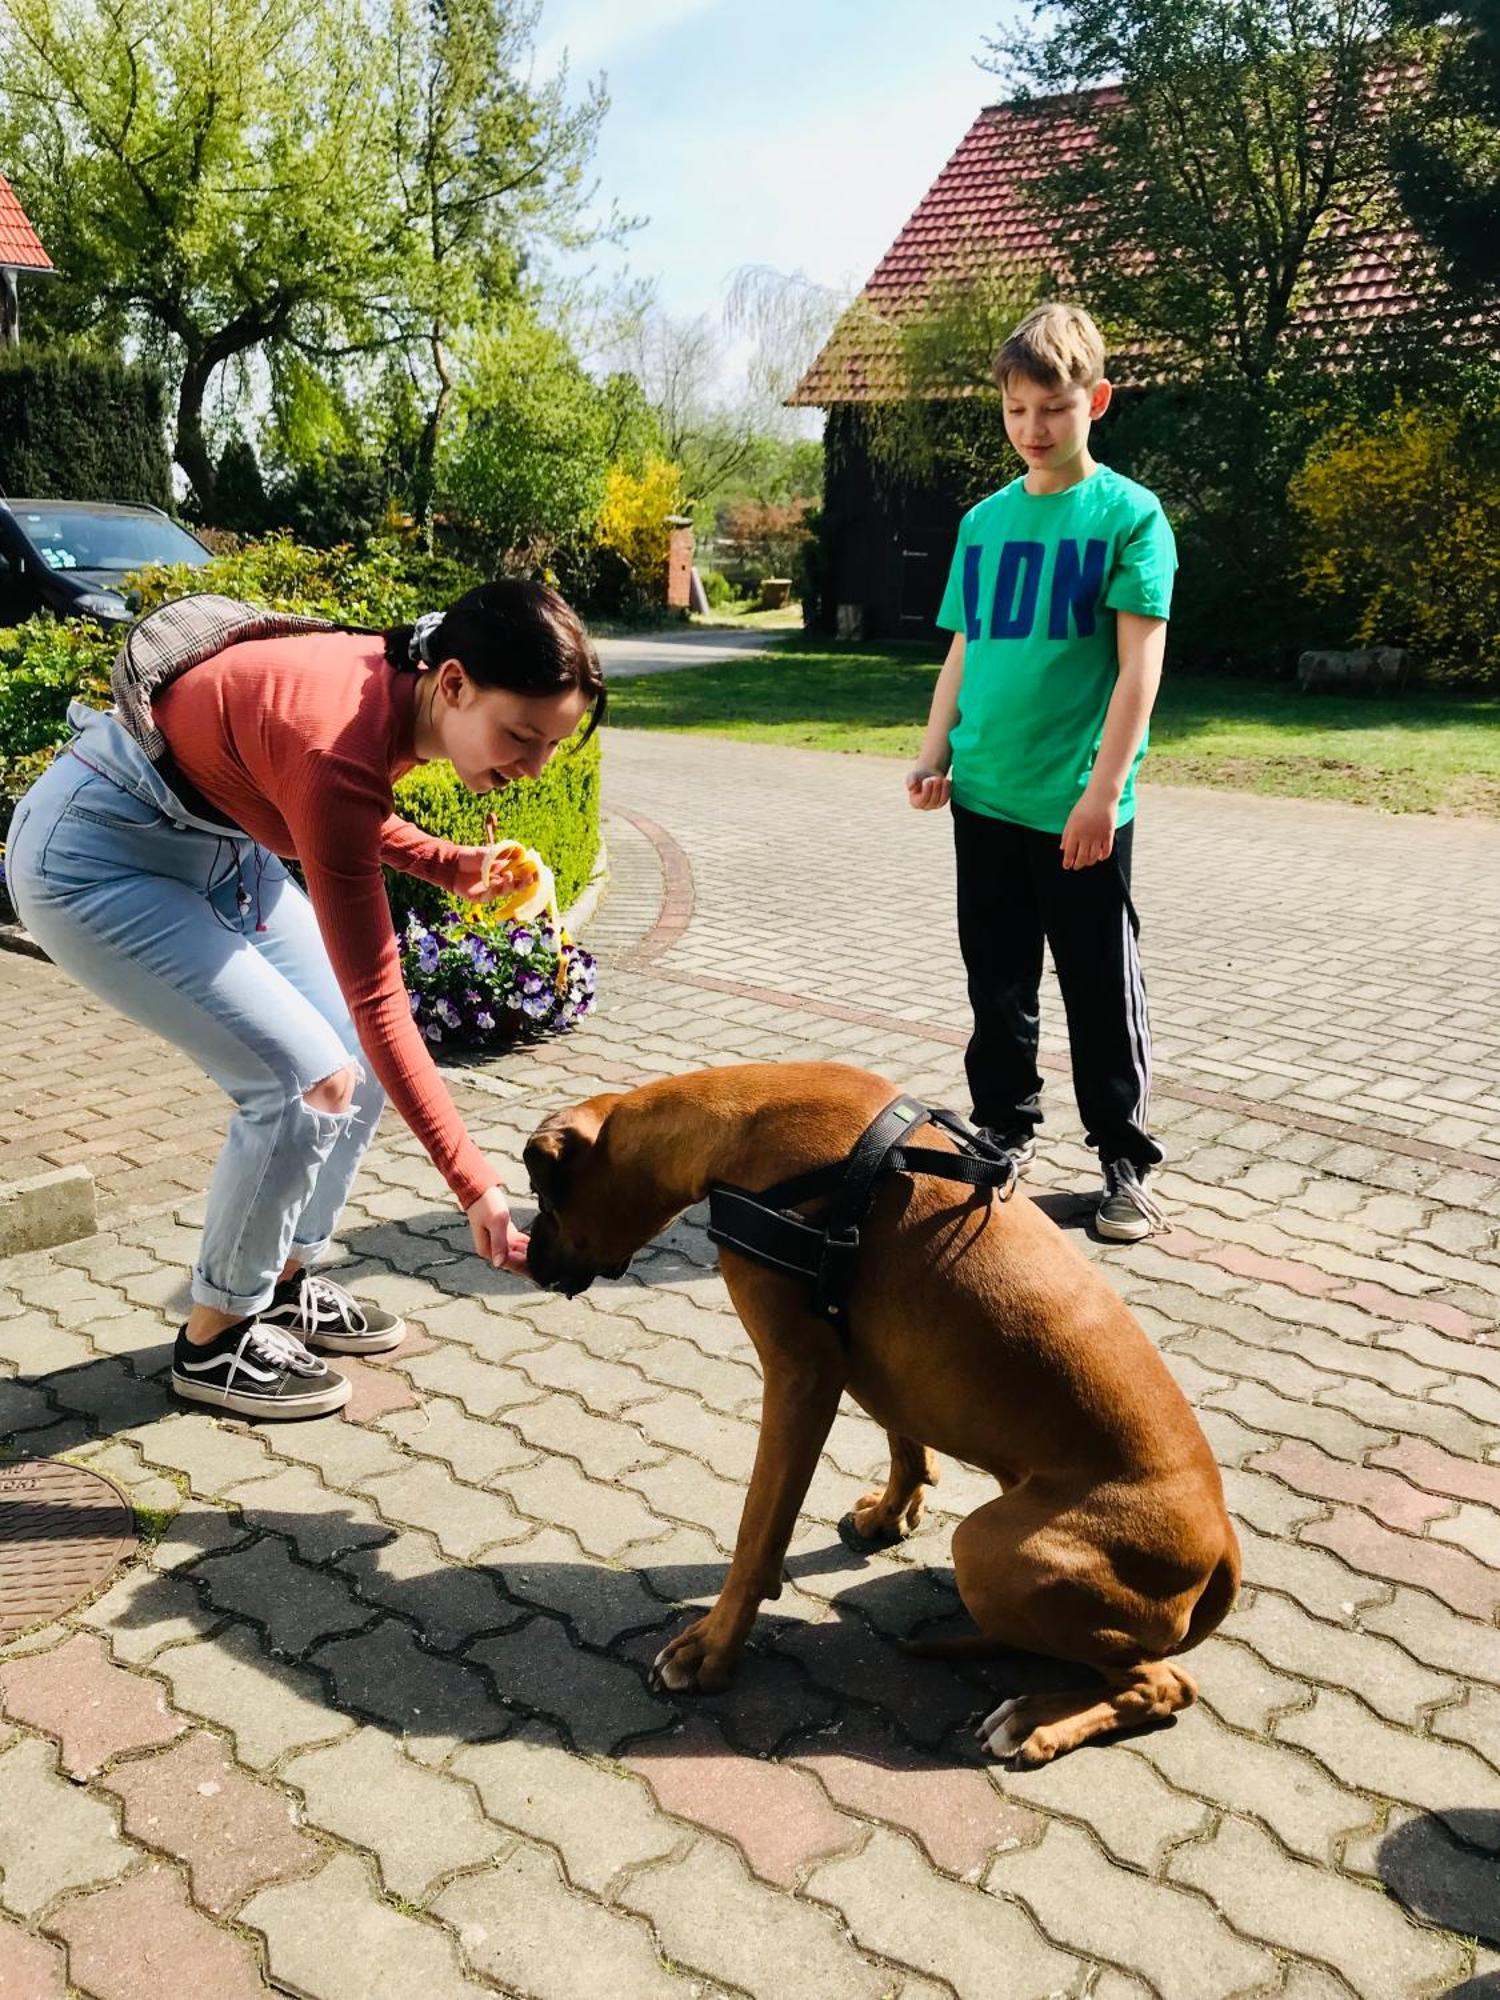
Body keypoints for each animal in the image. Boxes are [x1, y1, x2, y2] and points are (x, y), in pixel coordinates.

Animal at [528, 1064, 1248, 1768]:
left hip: (991, 1549)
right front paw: (891, 1512)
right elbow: (906, 1443)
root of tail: (1224, 1543)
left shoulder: (799, 1377)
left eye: (542, 1196)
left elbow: (758, 1533)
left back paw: (1036, 1720)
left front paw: (712, 1645)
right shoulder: (866, 1358)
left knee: (1162, 1683)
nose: (528, 1258)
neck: (741, 1124)